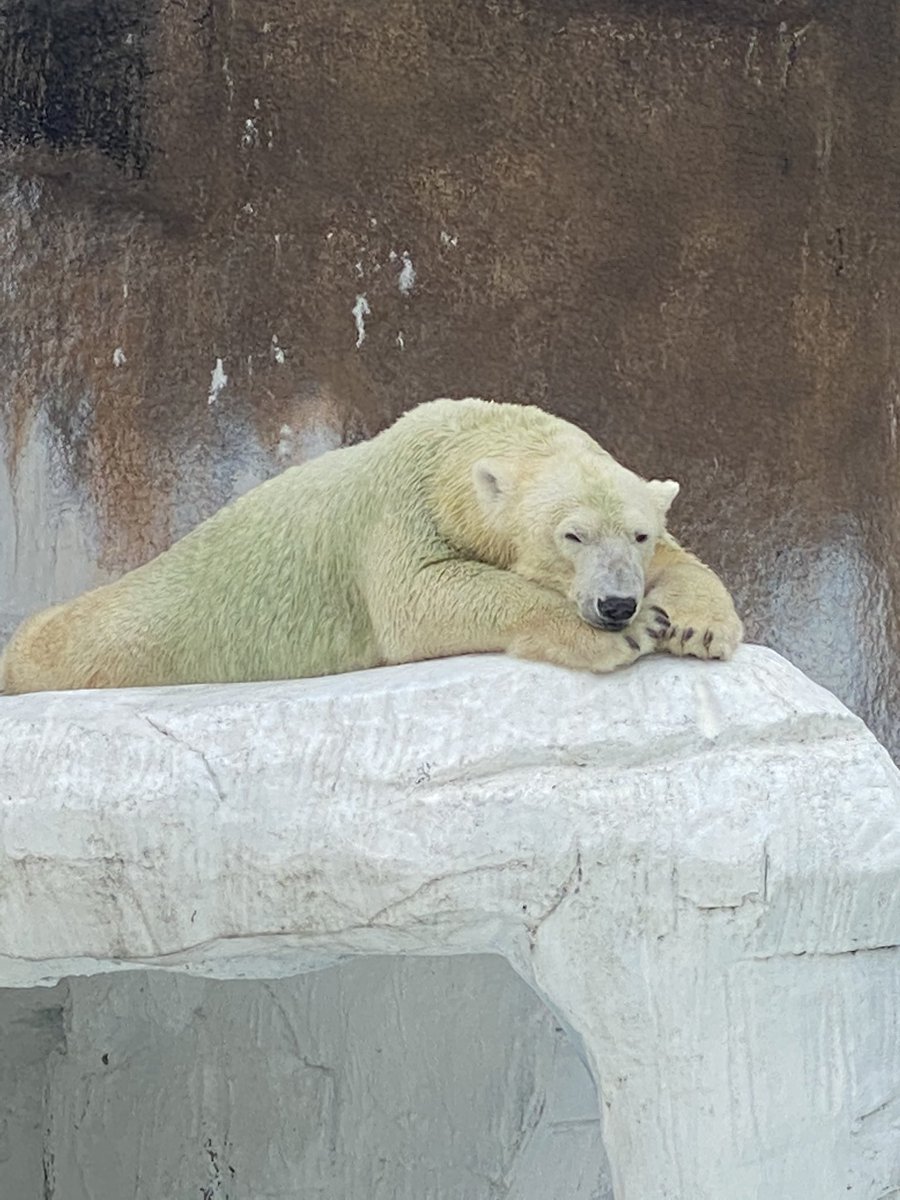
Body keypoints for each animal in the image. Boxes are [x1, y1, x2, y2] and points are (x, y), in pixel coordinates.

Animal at [0, 397, 743, 694]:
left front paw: (700, 625)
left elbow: (684, 559)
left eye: (638, 534)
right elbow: (420, 596)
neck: (456, 451)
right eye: (572, 534)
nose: (616, 604)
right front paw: (625, 635)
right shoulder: (400, 512)